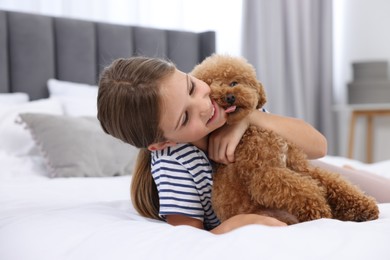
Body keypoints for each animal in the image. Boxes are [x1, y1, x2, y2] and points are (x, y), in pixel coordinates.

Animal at [190, 53, 380, 224]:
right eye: (211, 92)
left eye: (234, 82)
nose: (229, 97)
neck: (250, 132)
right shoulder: (265, 174)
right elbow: (300, 190)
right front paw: (318, 210)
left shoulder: (298, 166)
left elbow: (334, 183)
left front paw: (363, 207)